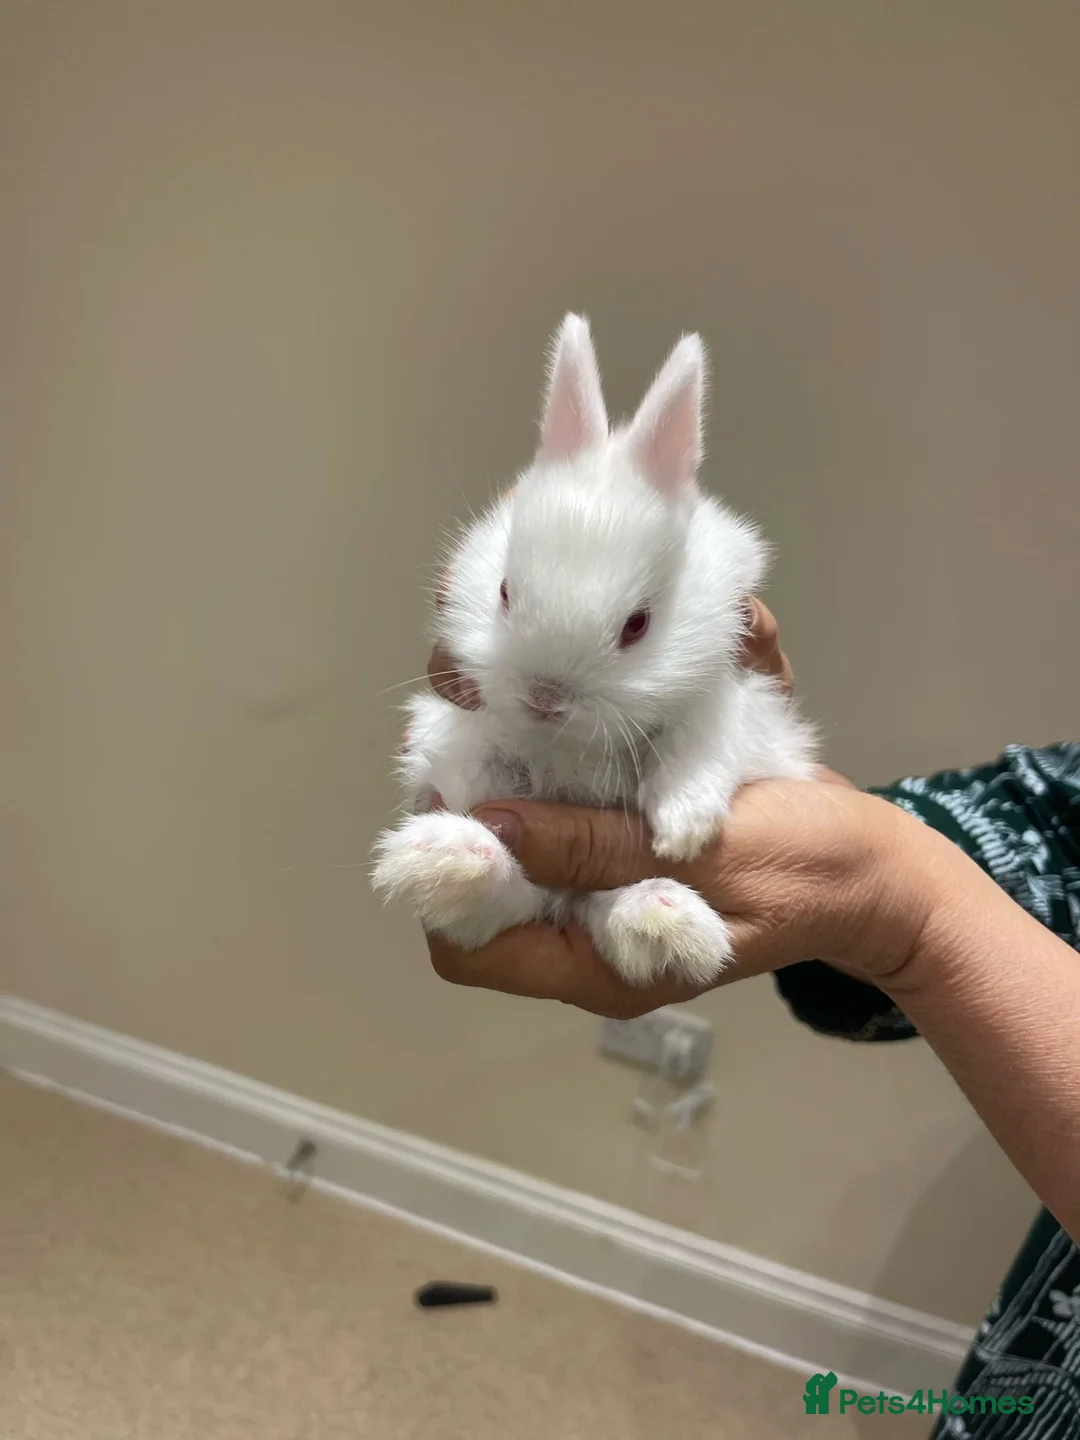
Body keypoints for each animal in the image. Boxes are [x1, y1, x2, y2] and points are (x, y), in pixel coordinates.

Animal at [370, 313, 818, 988]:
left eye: (638, 625)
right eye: (504, 591)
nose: (545, 696)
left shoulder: (725, 687)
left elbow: (695, 750)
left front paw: (682, 833)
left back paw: (665, 921)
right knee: (509, 901)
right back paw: (449, 857)